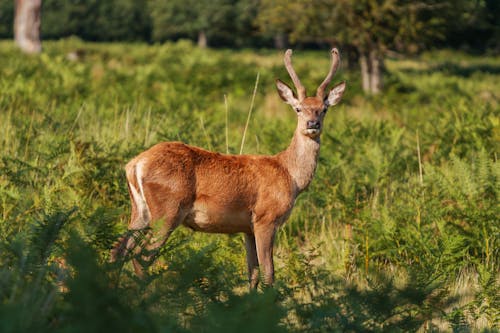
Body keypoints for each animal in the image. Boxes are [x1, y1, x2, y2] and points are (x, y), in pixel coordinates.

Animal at [110, 47, 346, 288]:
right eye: (298, 109)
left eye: (323, 109)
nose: (312, 124)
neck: (290, 176)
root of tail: (135, 164)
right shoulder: (266, 218)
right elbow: (268, 273)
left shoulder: (247, 227)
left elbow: (252, 273)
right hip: (168, 210)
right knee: (141, 256)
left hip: (140, 210)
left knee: (118, 250)